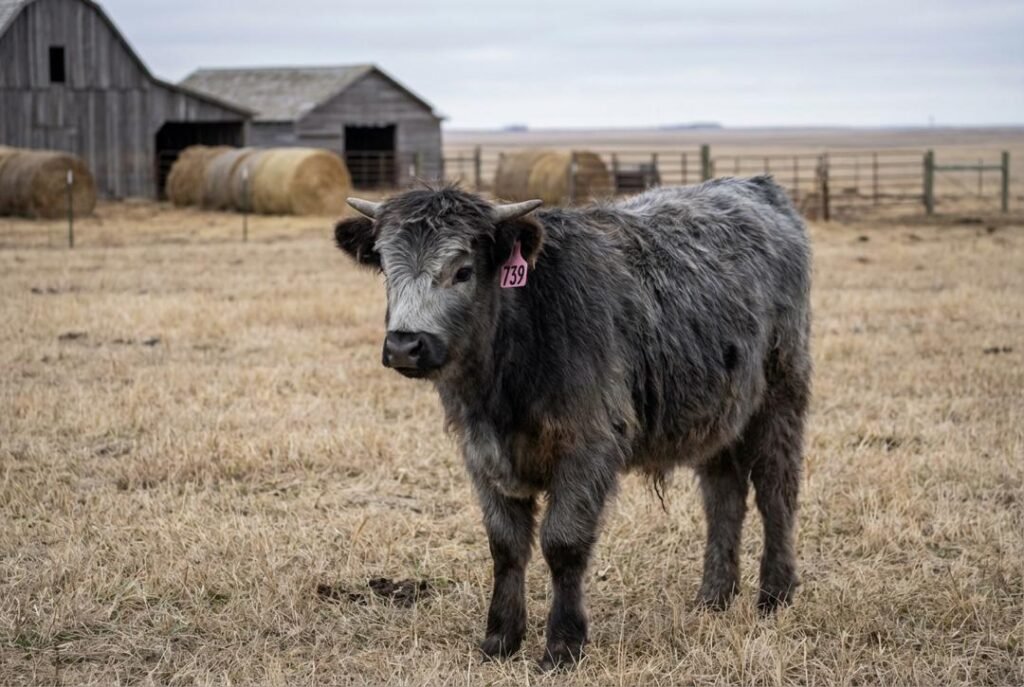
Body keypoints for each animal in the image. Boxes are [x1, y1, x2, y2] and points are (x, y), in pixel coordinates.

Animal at [333, 176, 811, 670]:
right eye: (386, 269)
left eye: (462, 271)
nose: (404, 346)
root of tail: (752, 186)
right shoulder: (481, 452)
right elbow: (505, 545)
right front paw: (500, 638)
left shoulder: (588, 447)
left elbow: (563, 543)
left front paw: (563, 644)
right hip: (719, 419)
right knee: (723, 497)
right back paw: (715, 597)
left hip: (781, 397)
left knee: (775, 491)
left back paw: (775, 594)